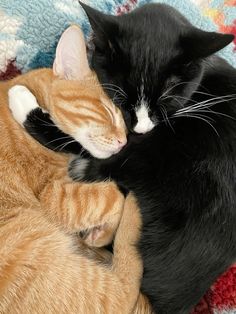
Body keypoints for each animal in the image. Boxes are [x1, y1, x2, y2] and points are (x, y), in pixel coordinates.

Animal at [0, 26, 151, 314]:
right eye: (108, 112)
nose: (123, 141)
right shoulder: (53, 197)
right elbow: (111, 196)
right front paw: (101, 234)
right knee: (123, 292)